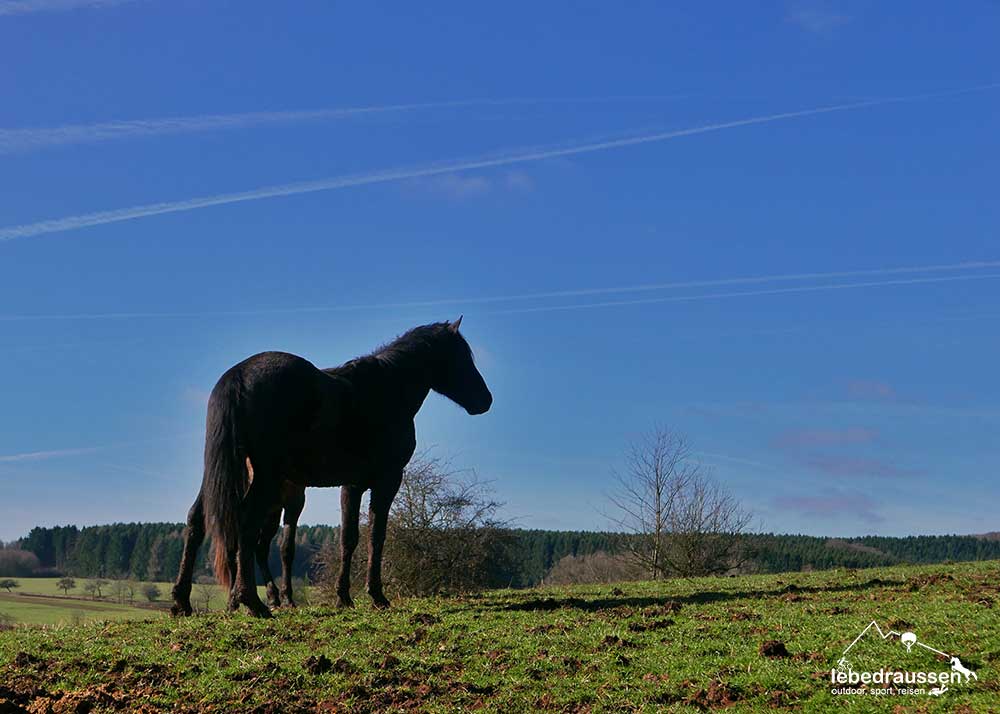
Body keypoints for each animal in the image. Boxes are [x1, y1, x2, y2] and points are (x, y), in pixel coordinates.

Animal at [170, 318, 492, 617]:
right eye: (462, 356)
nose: (485, 400)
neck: (386, 391)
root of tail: (239, 374)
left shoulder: (352, 485)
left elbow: (348, 539)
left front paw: (344, 597)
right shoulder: (387, 480)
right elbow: (375, 536)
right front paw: (376, 596)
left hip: (225, 476)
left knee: (198, 520)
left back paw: (183, 602)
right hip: (265, 479)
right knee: (245, 526)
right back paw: (253, 602)